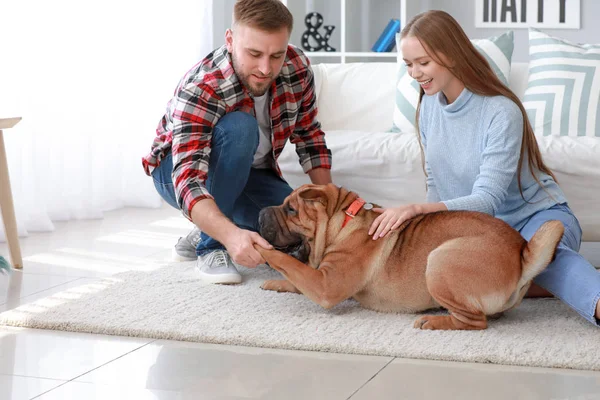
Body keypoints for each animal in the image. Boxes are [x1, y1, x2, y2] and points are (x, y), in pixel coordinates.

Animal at [255, 183, 564, 330]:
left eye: (291, 210)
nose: (259, 214)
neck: (341, 222)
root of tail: (521, 253)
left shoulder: (326, 286)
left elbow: (289, 263)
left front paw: (258, 248)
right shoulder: (319, 277)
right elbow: (295, 275)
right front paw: (274, 283)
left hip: (439, 260)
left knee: (475, 321)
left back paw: (433, 322)